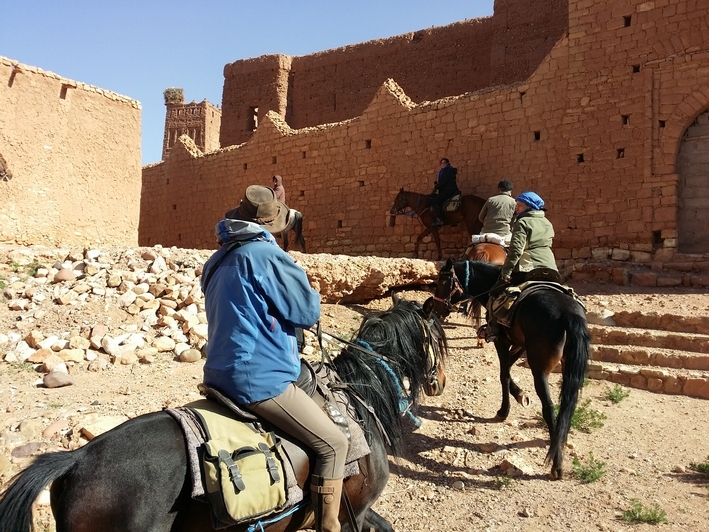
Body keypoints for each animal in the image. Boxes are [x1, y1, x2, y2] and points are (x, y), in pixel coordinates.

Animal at [428, 260, 588, 480]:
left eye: (443, 282)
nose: (435, 309)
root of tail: (567, 314)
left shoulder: (501, 340)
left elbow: (503, 374)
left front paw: (504, 410)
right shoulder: (520, 343)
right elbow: (509, 368)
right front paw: (520, 394)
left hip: (539, 368)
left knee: (548, 407)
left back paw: (556, 465)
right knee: (567, 405)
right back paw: (559, 443)